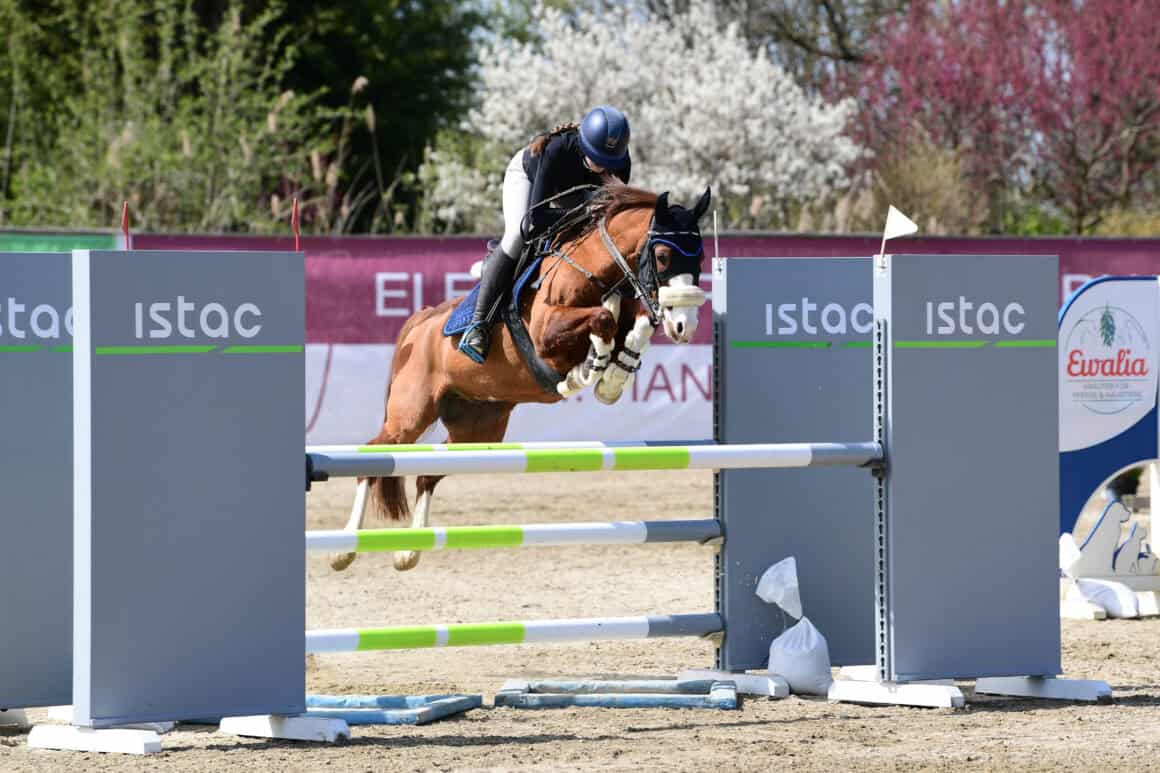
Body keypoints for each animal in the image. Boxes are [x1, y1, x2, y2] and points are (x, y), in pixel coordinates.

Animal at [330, 184, 711, 571]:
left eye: (701, 260)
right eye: (662, 256)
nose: (685, 326)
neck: (594, 268)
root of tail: (421, 321)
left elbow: (636, 327)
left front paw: (612, 379)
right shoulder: (545, 335)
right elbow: (602, 318)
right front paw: (586, 370)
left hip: (478, 428)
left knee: (427, 474)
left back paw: (408, 551)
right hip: (411, 414)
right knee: (374, 457)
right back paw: (343, 549)